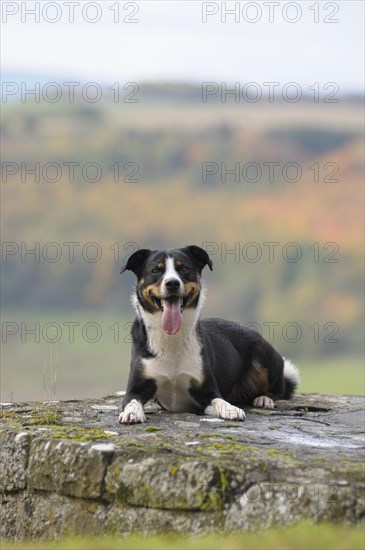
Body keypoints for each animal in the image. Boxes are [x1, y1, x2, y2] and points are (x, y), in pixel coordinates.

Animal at [118, 247, 298, 426]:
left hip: (263, 354)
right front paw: (131, 413)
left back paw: (263, 399)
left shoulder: (206, 390)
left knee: (278, 390)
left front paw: (230, 409)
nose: (172, 283)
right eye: (155, 270)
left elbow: (219, 400)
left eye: (184, 268)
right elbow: (132, 402)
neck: (171, 337)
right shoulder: (136, 388)